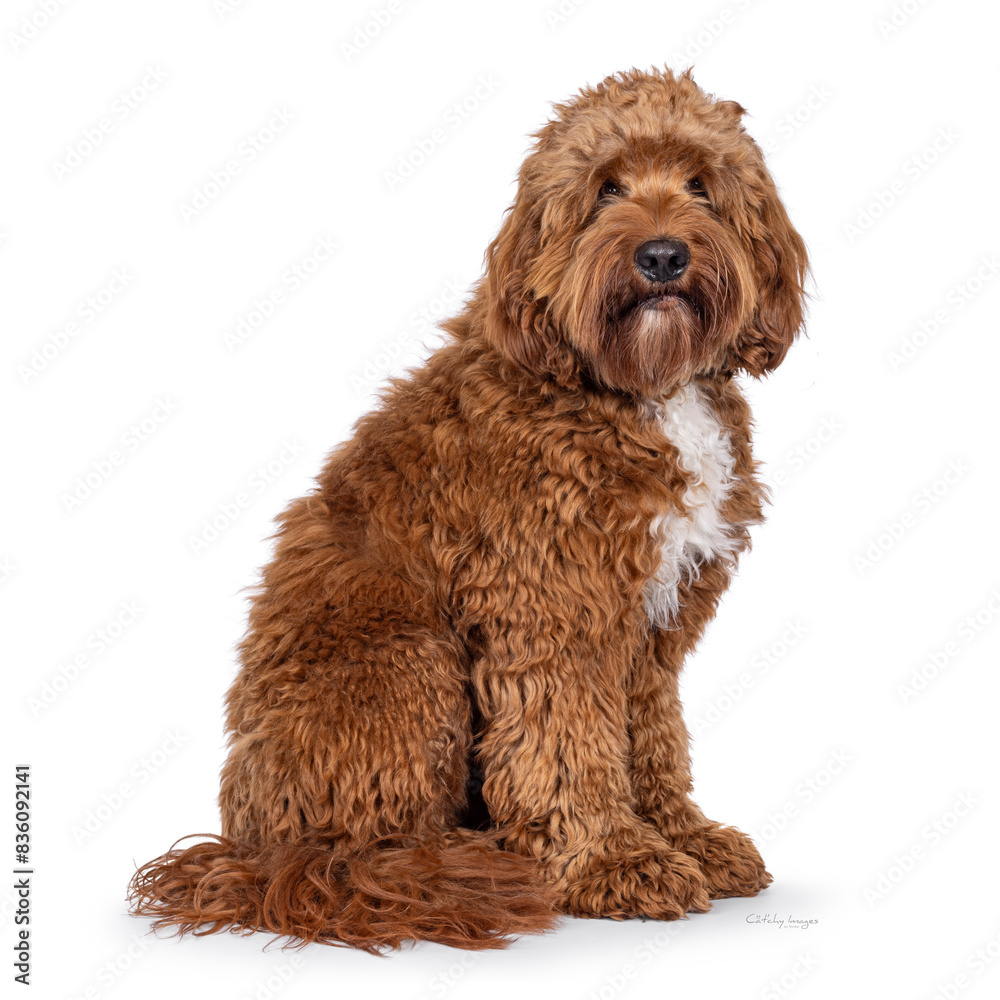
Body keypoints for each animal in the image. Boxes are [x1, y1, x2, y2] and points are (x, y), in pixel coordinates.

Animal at [129, 66, 808, 948]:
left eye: (700, 185)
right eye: (606, 189)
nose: (662, 255)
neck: (641, 389)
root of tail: (261, 854)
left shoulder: (653, 625)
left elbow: (653, 737)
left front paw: (681, 836)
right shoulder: (552, 608)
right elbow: (569, 746)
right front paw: (614, 861)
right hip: (408, 659)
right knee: (376, 843)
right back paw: (465, 862)